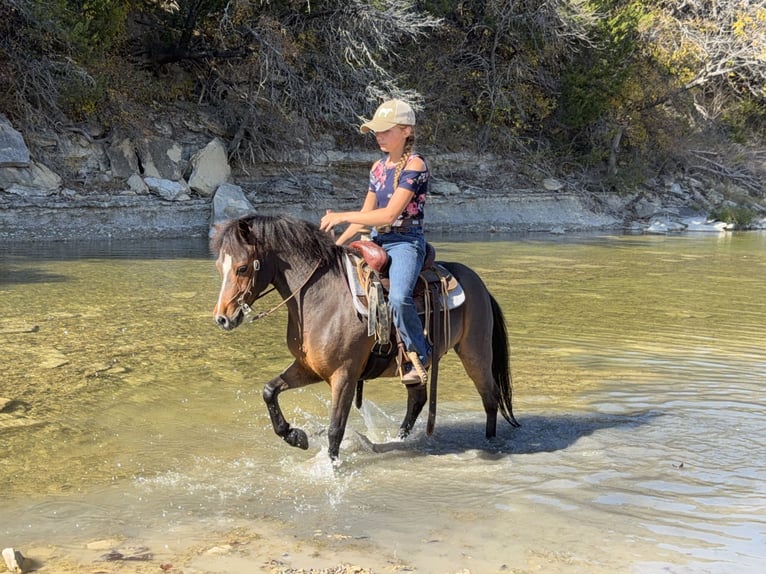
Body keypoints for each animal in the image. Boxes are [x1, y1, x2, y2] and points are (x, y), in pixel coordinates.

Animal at [211, 214, 520, 459]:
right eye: (218, 266)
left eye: (242, 267)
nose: (222, 318)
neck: (321, 299)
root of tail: (478, 283)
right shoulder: (309, 368)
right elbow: (269, 390)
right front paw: (295, 436)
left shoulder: (345, 375)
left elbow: (336, 428)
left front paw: (331, 468)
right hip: (418, 365)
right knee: (417, 399)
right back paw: (399, 440)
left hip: (475, 352)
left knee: (490, 397)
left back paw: (490, 444)